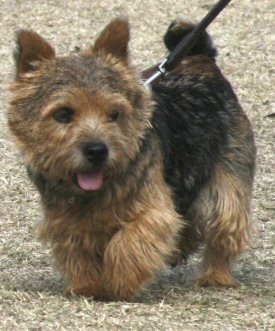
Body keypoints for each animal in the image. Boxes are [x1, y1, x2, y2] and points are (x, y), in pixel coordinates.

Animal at [7, 17, 256, 300]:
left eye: (114, 113)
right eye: (63, 114)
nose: (97, 150)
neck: (97, 190)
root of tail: (200, 58)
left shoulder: (153, 211)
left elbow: (129, 241)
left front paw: (119, 283)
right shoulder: (66, 219)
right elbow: (78, 251)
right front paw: (86, 286)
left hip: (228, 182)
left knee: (224, 226)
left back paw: (215, 276)